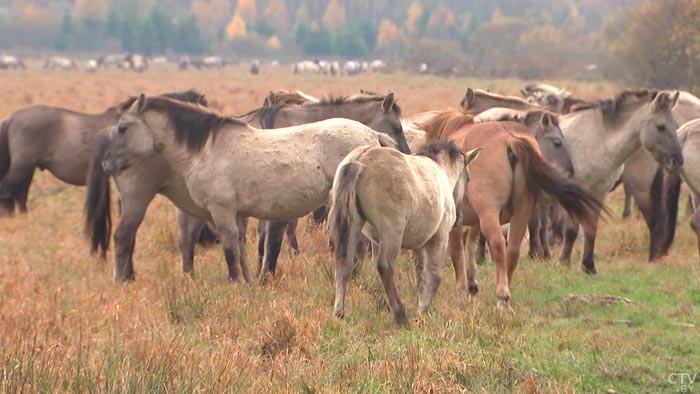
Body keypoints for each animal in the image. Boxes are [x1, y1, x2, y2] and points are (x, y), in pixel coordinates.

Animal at [330, 142, 482, 324]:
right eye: (468, 178)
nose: (459, 217)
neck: (439, 169)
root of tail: (359, 161)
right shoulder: (439, 237)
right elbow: (434, 275)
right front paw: (424, 310)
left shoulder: (419, 243)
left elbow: (421, 276)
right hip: (391, 230)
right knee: (385, 266)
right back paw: (399, 314)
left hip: (353, 225)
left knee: (344, 264)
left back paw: (339, 313)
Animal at [418, 107, 604, 310]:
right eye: (557, 142)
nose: (570, 171)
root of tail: (510, 139)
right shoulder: (476, 220)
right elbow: (471, 245)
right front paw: (471, 283)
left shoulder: (459, 222)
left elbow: (457, 250)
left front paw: (461, 288)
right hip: (521, 212)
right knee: (513, 249)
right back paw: (505, 293)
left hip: (490, 213)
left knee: (498, 245)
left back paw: (502, 296)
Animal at [556, 89, 684, 274]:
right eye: (661, 126)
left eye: (675, 125)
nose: (678, 161)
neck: (598, 140)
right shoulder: (578, 192)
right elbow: (572, 230)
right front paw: (564, 263)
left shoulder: (598, 192)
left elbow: (590, 228)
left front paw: (588, 266)